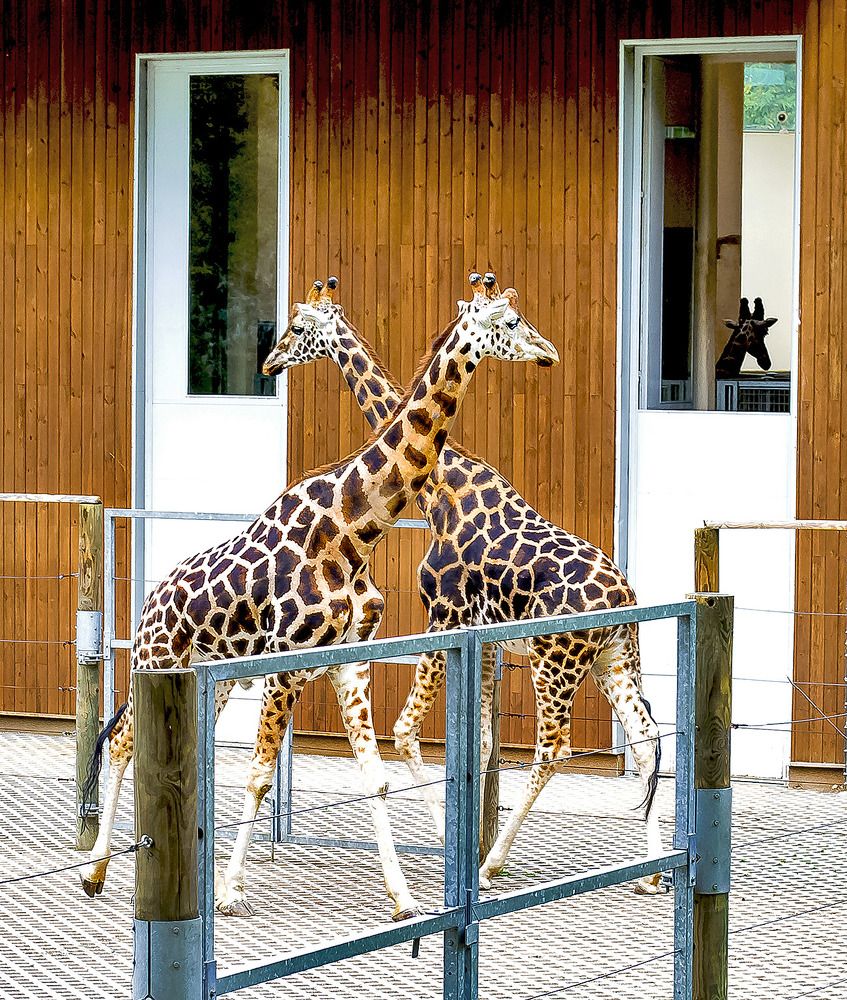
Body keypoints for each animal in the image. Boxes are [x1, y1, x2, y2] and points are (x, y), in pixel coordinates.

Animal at [79, 277, 558, 921]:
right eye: (506, 323)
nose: (547, 352)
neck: (352, 529)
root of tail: (149, 605)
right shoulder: (286, 663)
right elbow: (259, 776)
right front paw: (231, 893)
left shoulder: (348, 660)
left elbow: (374, 775)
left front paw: (403, 898)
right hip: (158, 662)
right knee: (124, 742)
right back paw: (96, 873)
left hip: (211, 676)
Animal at [263, 273, 666, 894]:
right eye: (511, 320)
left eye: (299, 326)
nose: (271, 359)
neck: (439, 487)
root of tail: (625, 597)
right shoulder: (484, 638)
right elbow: (478, 744)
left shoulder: (444, 615)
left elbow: (409, 732)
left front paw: (448, 840)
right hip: (613, 658)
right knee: (645, 740)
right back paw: (652, 871)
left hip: (555, 664)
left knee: (554, 749)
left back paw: (492, 861)